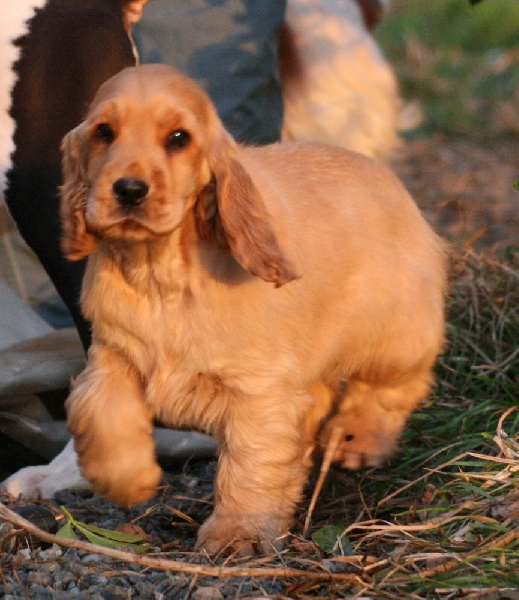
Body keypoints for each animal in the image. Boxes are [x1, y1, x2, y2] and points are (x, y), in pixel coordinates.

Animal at [52, 64, 446, 554]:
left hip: (394, 333)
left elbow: (250, 463)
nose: (128, 189)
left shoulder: (259, 391)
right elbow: (102, 414)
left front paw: (236, 534)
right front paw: (130, 482)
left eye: (179, 138)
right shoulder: (115, 356)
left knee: (393, 387)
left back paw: (357, 439)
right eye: (104, 132)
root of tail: (390, 180)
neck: (160, 272)